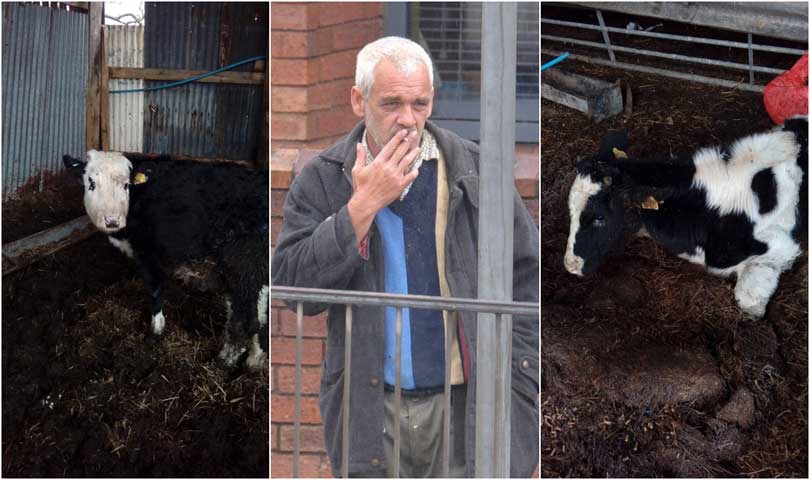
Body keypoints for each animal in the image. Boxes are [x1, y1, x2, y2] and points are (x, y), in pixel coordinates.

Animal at [63, 150, 270, 368]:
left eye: (127, 185)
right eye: (91, 183)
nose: (112, 221)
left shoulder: (146, 252)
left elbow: (154, 289)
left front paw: (156, 331)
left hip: (243, 264)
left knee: (247, 321)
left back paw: (224, 361)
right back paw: (255, 360)